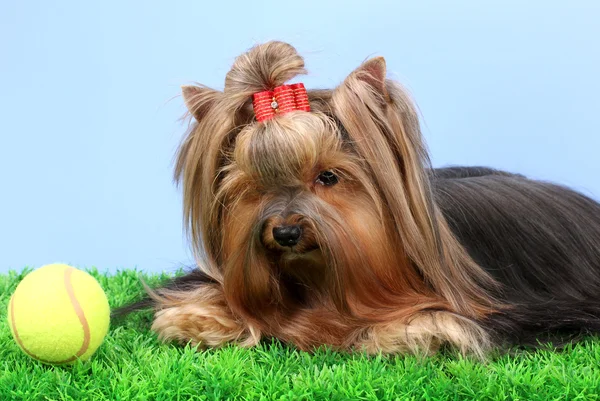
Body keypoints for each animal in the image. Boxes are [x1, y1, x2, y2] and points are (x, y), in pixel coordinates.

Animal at [113, 39, 600, 354]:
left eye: (328, 177)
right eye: (254, 187)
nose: (285, 232)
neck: (322, 279)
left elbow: (434, 321)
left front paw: (407, 331)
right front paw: (196, 317)